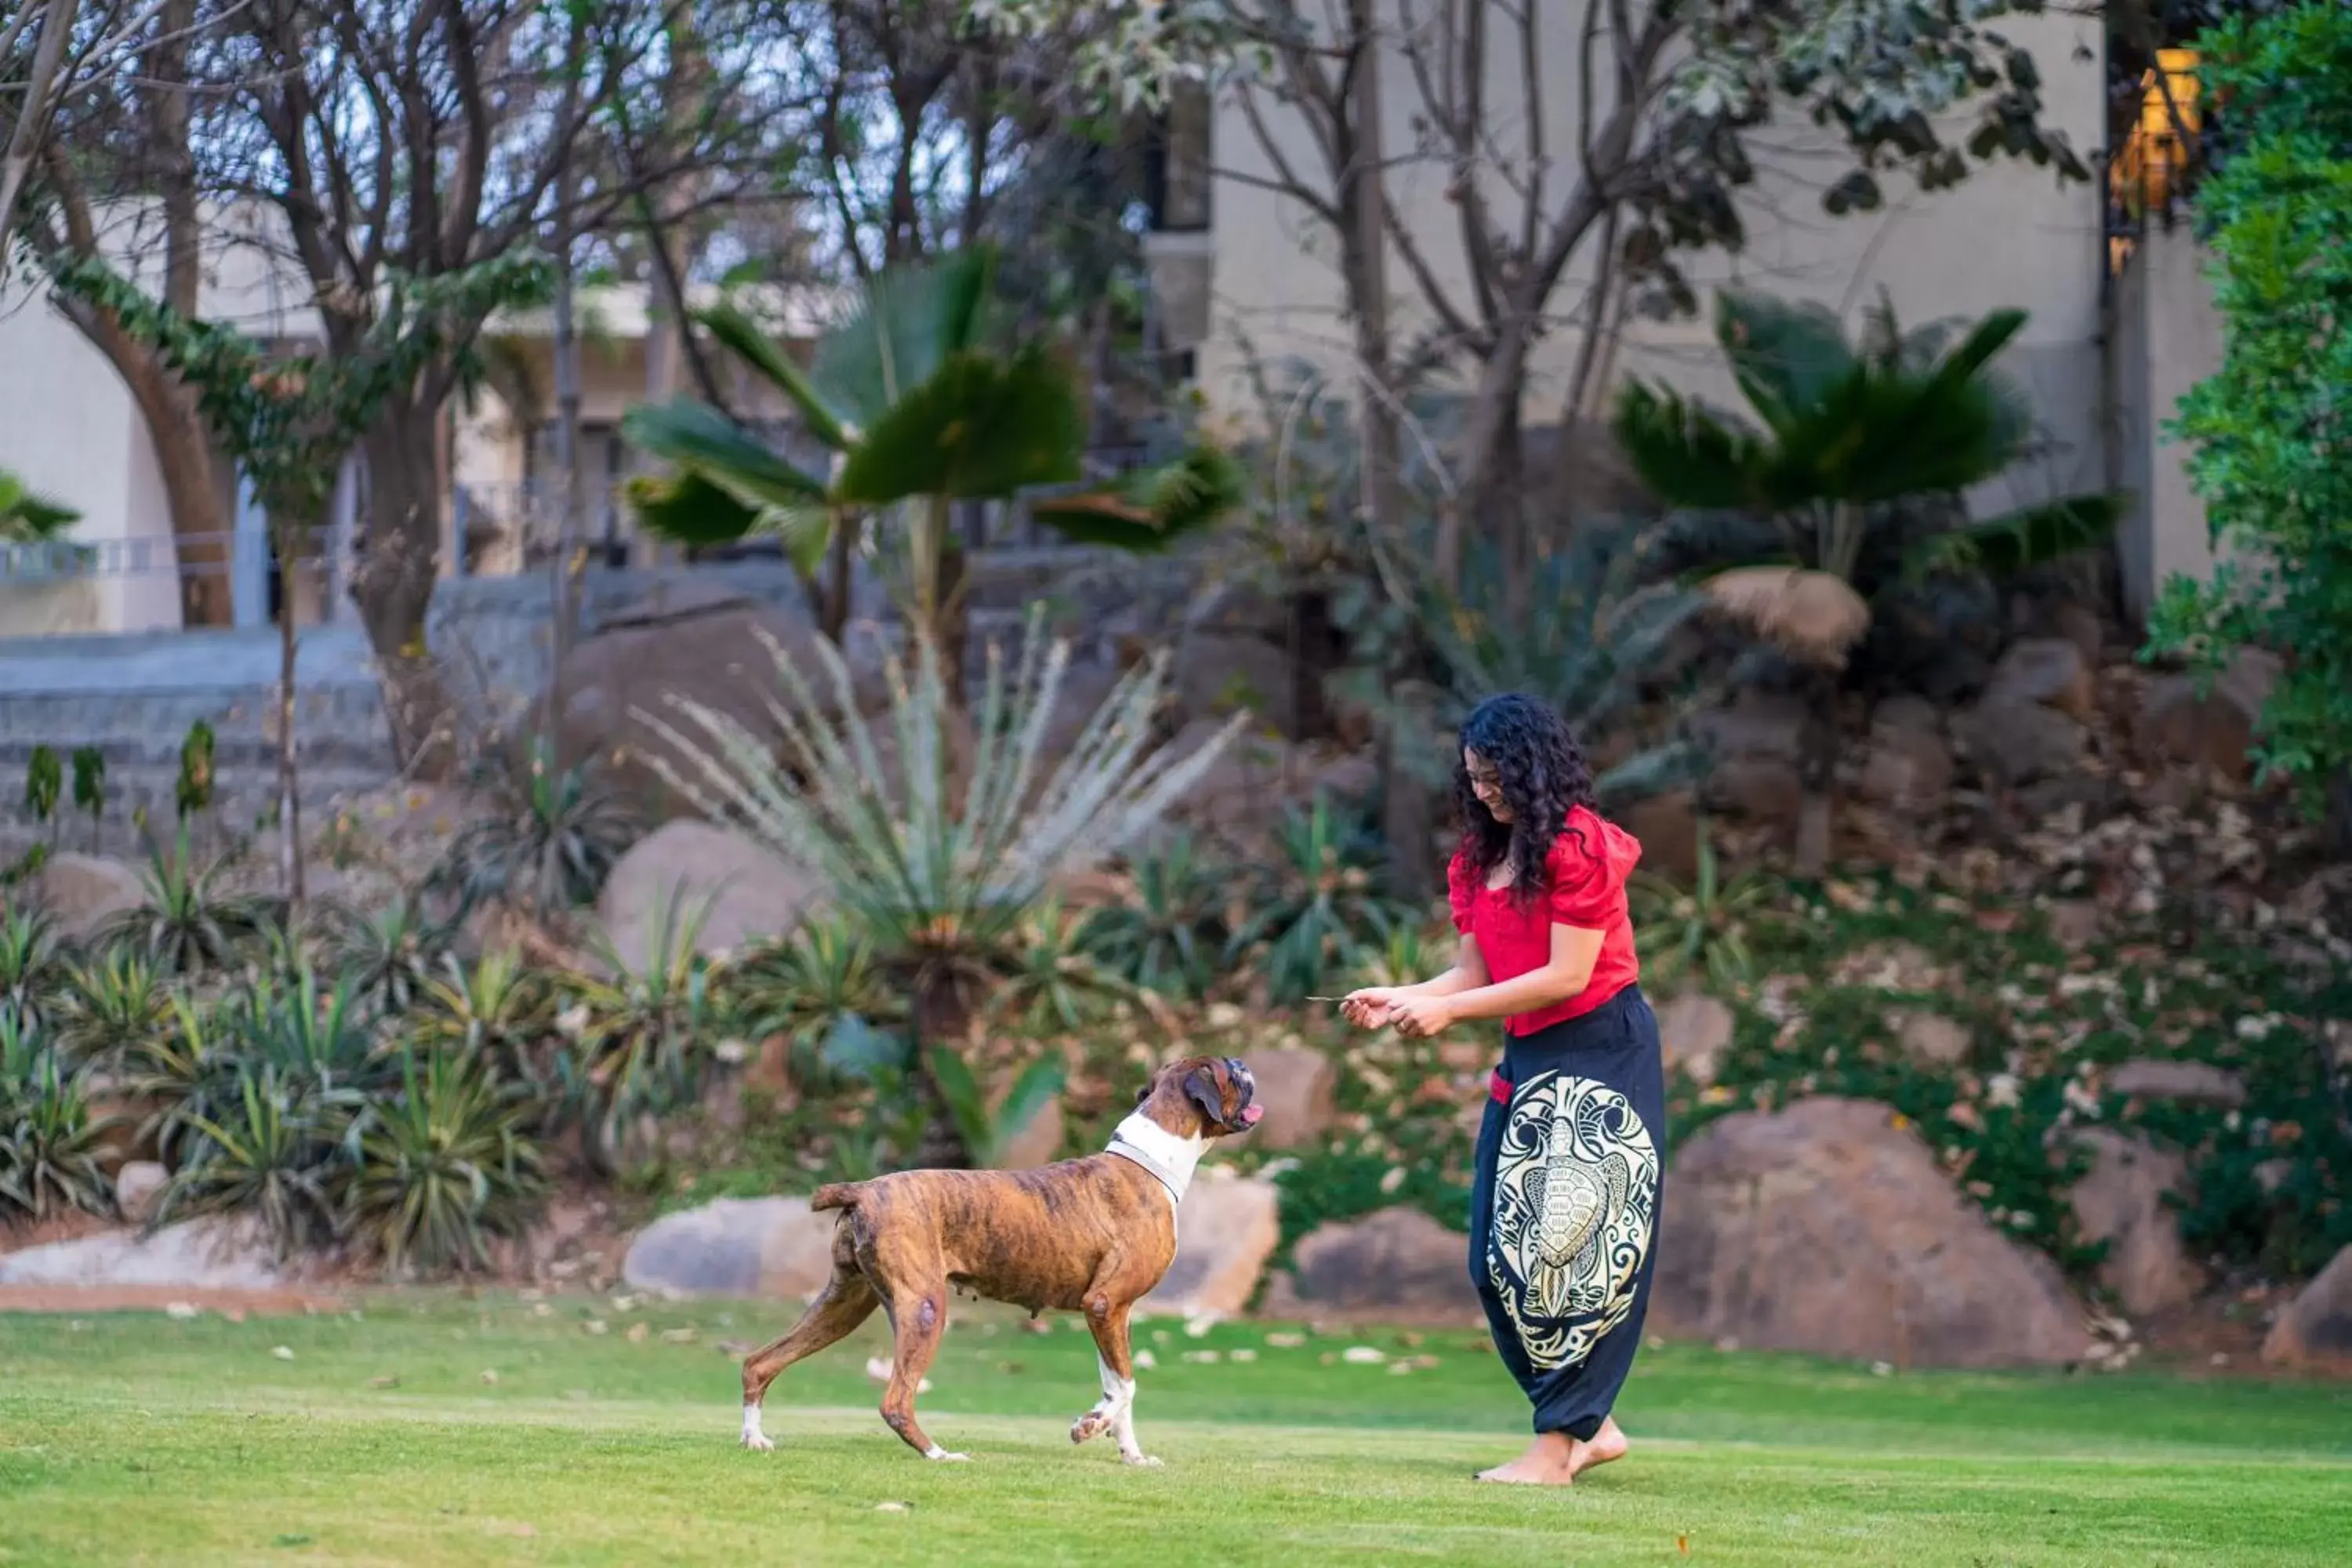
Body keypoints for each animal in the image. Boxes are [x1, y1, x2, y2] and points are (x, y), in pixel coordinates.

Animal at [734, 1053, 1261, 1476]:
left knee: (760, 1363)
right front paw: (1087, 1426)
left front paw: (1130, 1454)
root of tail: (863, 1190)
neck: (1147, 1160)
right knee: (895, 1402)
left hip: (842, 1306)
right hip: (925, 1310)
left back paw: (754, 1438)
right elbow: (1126, 1387)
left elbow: (1118, 1386)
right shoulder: (1104, 1304)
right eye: (1230, 1070)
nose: (1245, 1062)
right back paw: (939, 1455)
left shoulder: (1113, 1315)